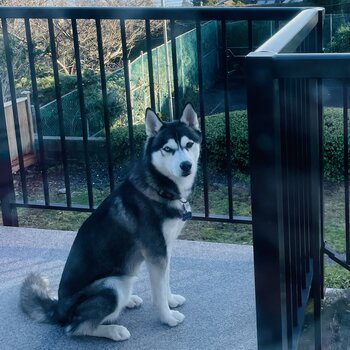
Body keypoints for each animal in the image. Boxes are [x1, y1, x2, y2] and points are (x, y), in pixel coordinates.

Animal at [20, 103, 202, 342]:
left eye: (189, 144)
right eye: (168, 149)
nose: (186, 165)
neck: (159, 187)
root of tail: (58, 310)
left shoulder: (164, 249)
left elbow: (165, 282)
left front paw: (171, 300)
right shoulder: (155, 252)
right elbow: (158, 292)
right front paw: (167, 317)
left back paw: (130, 301)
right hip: (112, 285)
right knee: (75, 328)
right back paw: (114, 330)